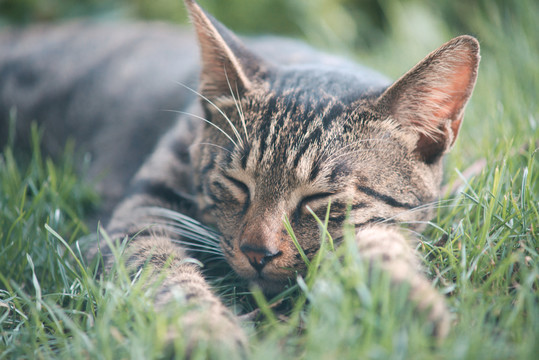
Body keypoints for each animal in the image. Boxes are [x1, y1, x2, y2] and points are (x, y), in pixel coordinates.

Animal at [0, 0, 480, 354]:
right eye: (236, 183)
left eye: (318, 198)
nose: (257, 252)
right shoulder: (141, 214)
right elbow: (168, 276)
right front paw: (205, 333)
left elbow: (378, 243)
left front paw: (403, 300)